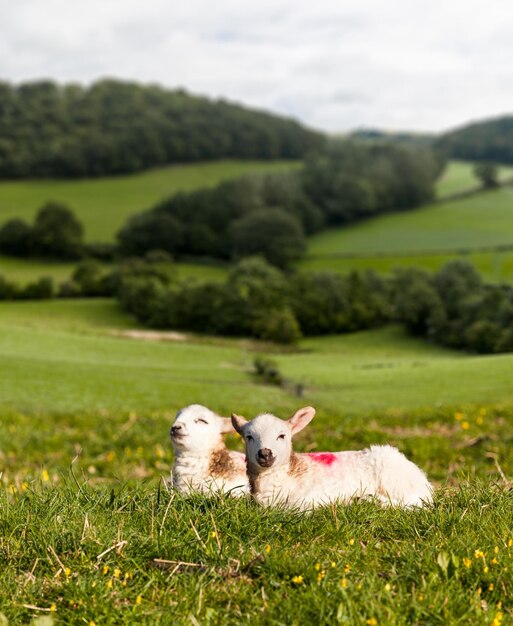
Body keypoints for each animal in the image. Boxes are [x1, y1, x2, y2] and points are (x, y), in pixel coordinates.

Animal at [232, 404, 432, 508]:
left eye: (282, 436)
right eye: (249, 437)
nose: (265, 453)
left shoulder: (313, 497)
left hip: (395, 478)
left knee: (415, 502)